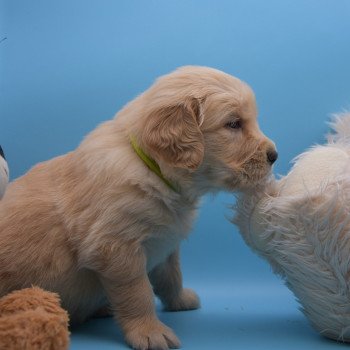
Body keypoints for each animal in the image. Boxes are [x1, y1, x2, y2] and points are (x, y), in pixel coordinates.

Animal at [0, 66, 278, 350]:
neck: (153, 171)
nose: (274, 155)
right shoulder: (116, 248)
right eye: (233, 124)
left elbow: (172, 275)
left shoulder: (166, 242)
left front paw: (180, 300)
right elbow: (138, 292)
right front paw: (149, 331)